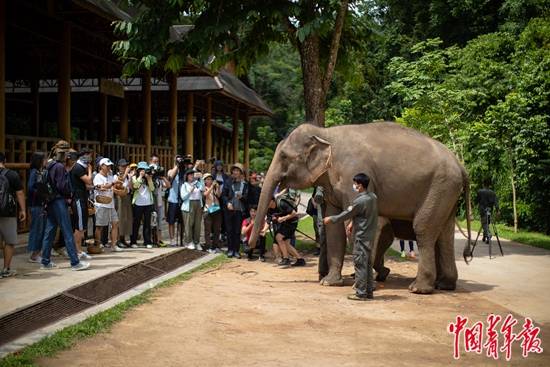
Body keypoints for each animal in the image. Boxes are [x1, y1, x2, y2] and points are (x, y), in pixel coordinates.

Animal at [250, 122, 474, 294]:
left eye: (284, 157)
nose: (255, 242)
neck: (325, 134)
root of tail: (461, 165)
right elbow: (334, 226)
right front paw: (329, 283)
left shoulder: (354, 174)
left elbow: (358, 223)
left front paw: (362, 285)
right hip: (446, 191)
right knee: (444, 232)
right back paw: (444, 285)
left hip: (440, 186)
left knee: (424, 229)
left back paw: (418, 289)